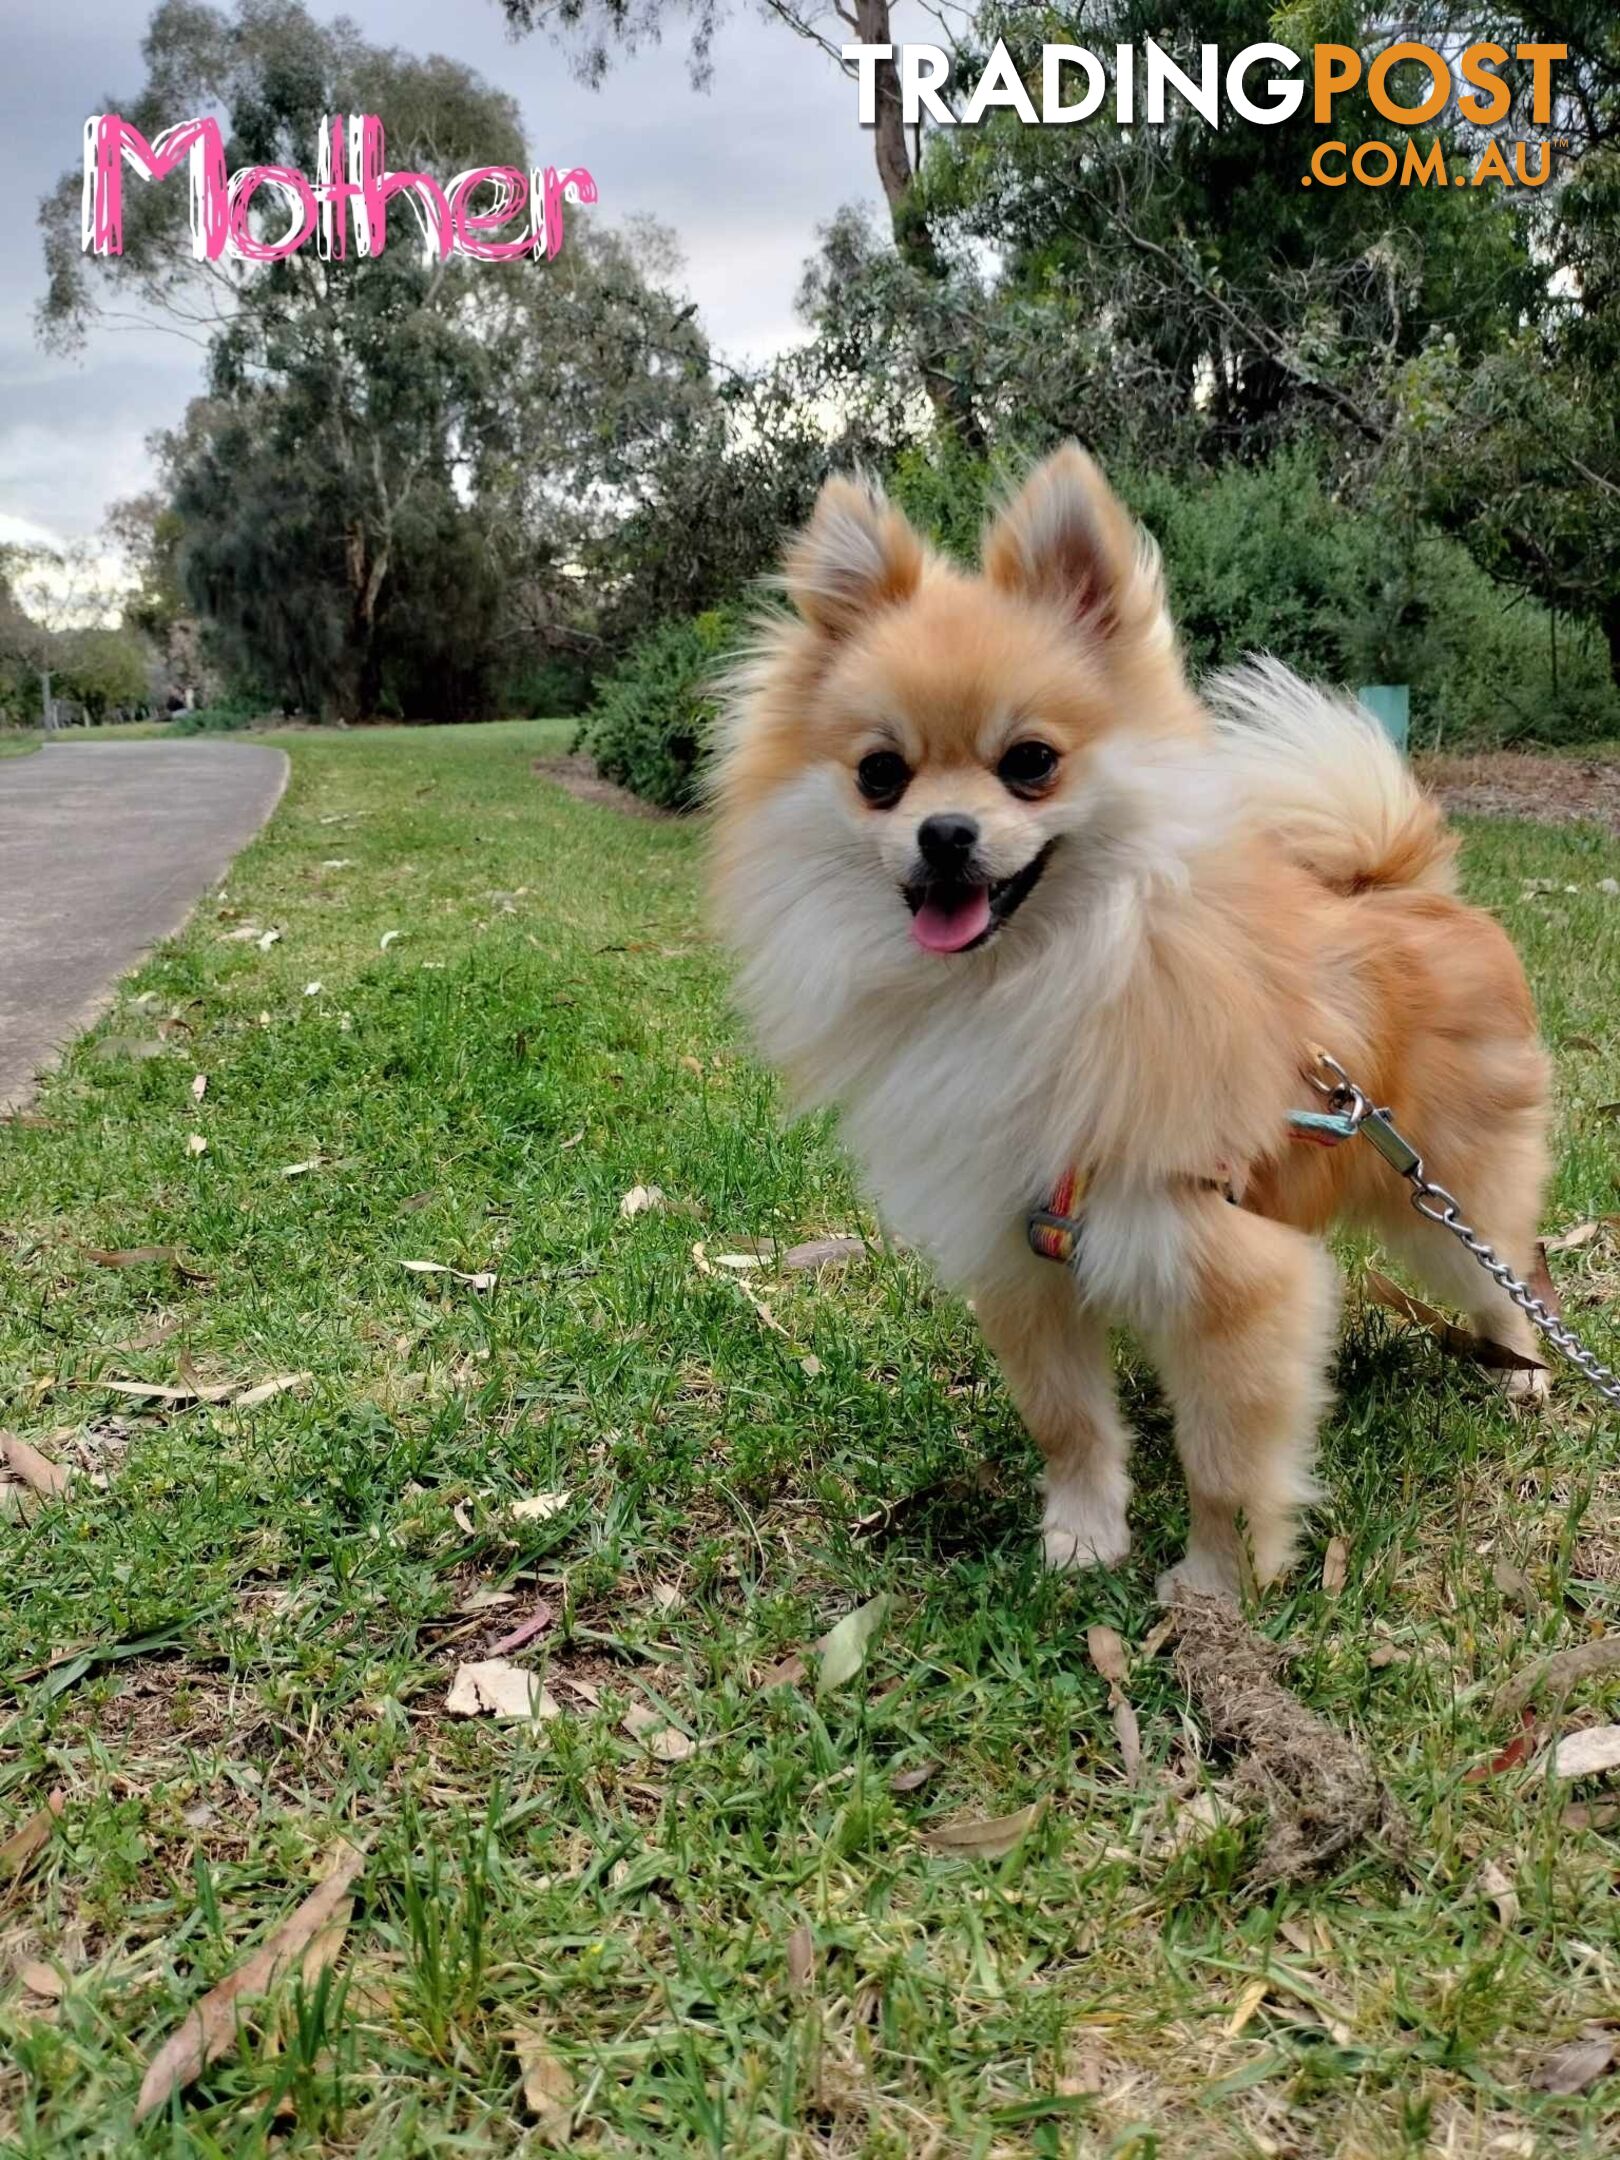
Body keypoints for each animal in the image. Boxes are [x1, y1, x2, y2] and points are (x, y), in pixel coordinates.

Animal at [708, 447, 1546, 1598]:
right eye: (881, 775)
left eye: (1030, 762)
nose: (943, 831)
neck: (1036, 981)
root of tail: (1410, 891)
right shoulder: (1020, 1258)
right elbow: (1068, 1422)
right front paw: (1082, 1535)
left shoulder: (1234, 1275)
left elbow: (1226, 1465)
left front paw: (1212, 1591)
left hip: (1449, 1199)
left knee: (1514, 1266)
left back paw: (1526, 1368)